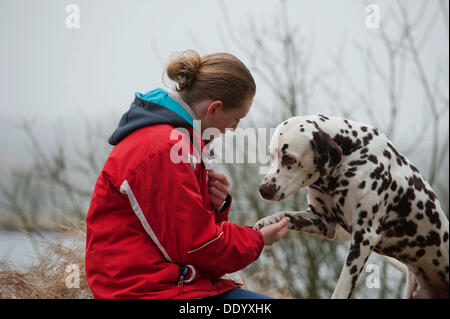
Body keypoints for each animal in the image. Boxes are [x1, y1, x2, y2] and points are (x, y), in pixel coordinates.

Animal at [255, 115, 448, 300]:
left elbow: (340, 290)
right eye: (271, 156)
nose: (263, 190)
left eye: (289, 158)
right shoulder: (323, 222)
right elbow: (288, 215)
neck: (351, 153)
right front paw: (269, 221)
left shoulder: (364, 237)